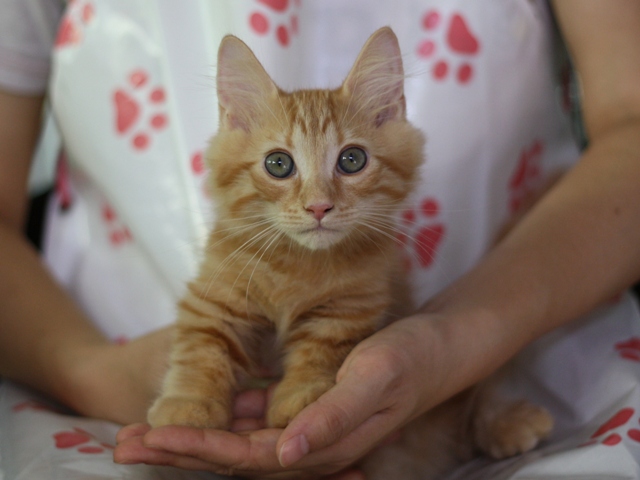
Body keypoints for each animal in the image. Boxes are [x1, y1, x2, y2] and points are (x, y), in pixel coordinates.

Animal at [148, 27, 552, 480]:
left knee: (470, 400)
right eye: (278, 164)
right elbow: (200, 347)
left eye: (352, 160)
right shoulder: (214, 295)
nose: (319, 207)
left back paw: (509, 424)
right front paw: (186, 406)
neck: (297, 265)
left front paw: (301, 397)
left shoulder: (353, 304)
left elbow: (322, 347)